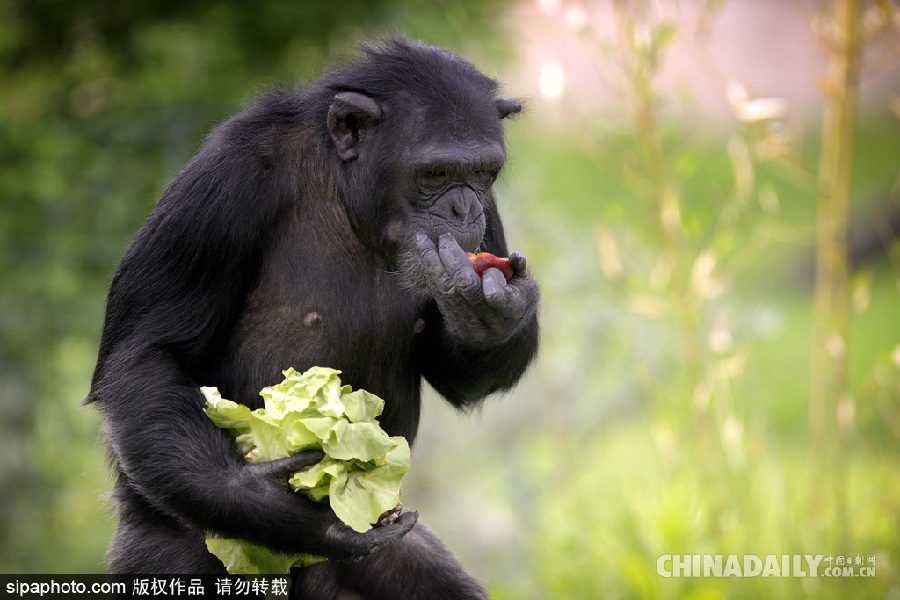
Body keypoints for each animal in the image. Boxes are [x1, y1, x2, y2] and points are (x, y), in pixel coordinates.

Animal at [88, 39, 540, 596]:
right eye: (435, 173)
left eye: (482, 174)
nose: (463, 209)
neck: (351, 199)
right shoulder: (226, 179)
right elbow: (148, 353)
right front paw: (271, 504)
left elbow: (455, 375)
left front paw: (492, 315)